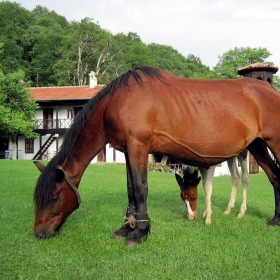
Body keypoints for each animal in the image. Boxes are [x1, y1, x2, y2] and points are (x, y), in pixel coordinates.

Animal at [33, 66, 280, 246]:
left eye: (54, 197)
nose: (39, 233)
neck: (117, 101)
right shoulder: (128, 151)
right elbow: (131, 191)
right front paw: (126, 227)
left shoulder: (139, 147)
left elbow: (140, 190)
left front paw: (139, 232)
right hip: (257, 146)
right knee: (274, 177)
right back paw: (275, 220)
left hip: (273, 144)